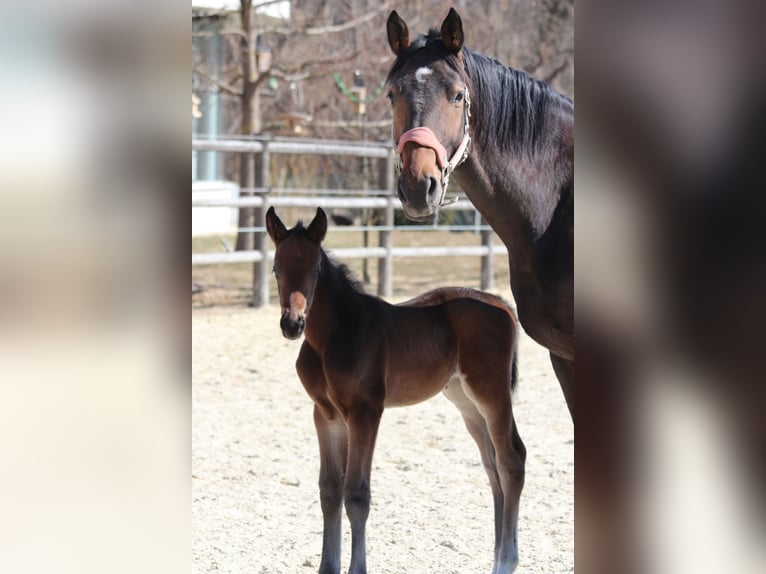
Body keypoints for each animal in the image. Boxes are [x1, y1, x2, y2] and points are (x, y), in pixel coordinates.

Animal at [268, 207, 524, 574]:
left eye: (315, 270)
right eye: (277, 269)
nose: (292, 324)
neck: (334, 337)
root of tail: (502, 304)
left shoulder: (366, 412)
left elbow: (356, 494)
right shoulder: (326, 415)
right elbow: (329, 490)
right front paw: (327, 567)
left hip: (491, 392)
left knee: (511, 460)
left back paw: (506, 560)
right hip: (465, 401)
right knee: (492, 465)